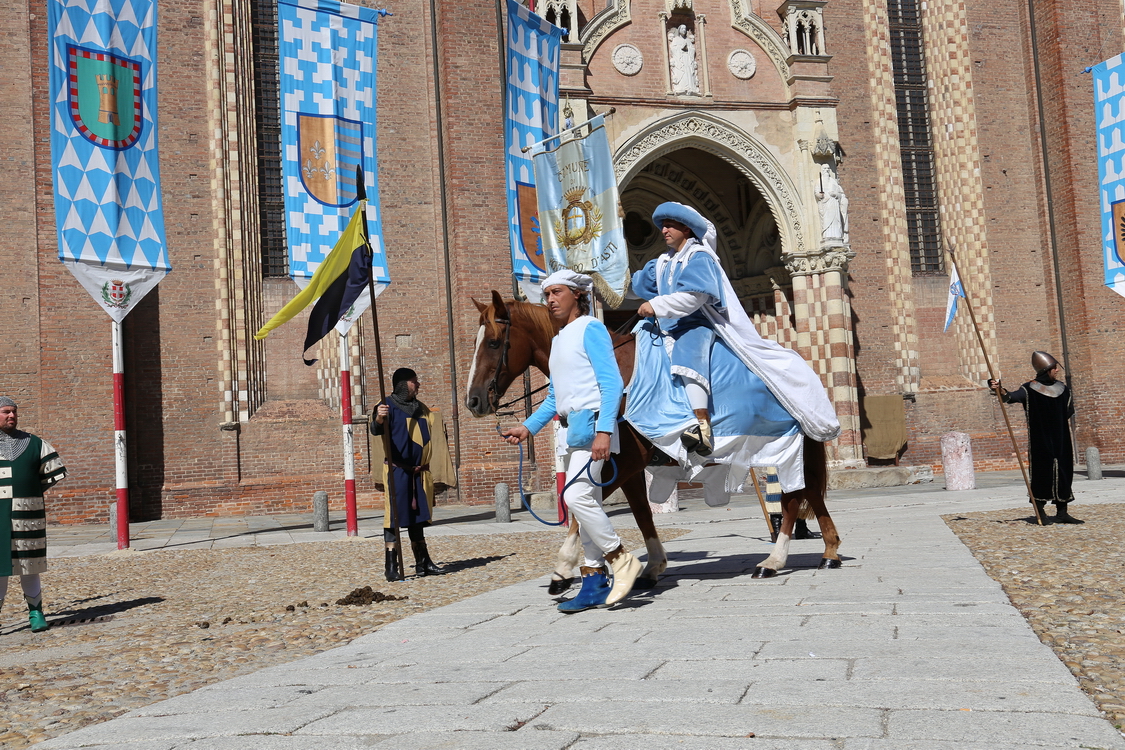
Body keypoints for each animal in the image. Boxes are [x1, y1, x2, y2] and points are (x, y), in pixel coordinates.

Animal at [461, 290, 841, 589]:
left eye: (493, 342)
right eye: (474, 343)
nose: (474, 400)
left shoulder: (622, 461)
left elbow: (582, 508)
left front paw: (564, 567)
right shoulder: (626, 467)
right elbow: (641, 514)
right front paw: (653, 565)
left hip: (784, 449)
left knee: (792, 499)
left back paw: (774, 560)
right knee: (808, 493)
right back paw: (829, 551)